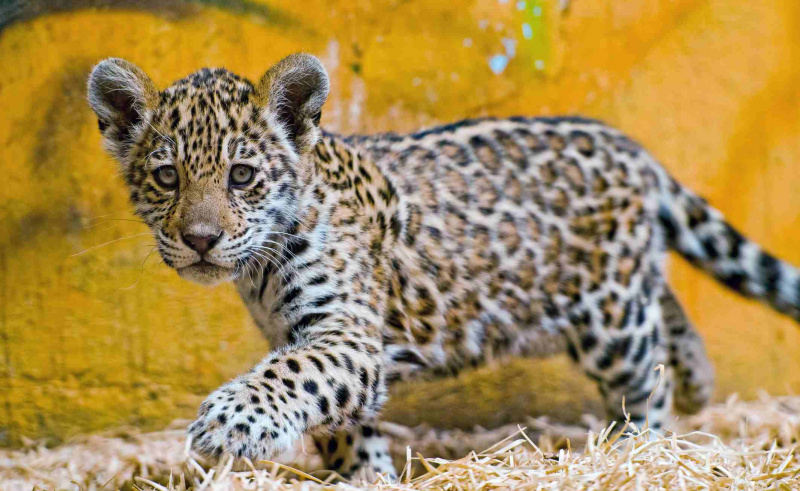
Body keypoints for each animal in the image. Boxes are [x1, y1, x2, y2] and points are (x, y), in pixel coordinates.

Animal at [87, 53, 799, 478]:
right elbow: (340, 420)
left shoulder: (343, 332)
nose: (200, 239)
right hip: (626, 289)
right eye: (167, 177)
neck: (260, 268)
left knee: (644, 379)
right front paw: (367, 478)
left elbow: (293, 375)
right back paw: (699, 382)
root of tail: (631, 148)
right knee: (668, 307)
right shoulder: (311, 338)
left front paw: (229, 424)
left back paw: (642, 453)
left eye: (241, 175)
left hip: (610, 318)